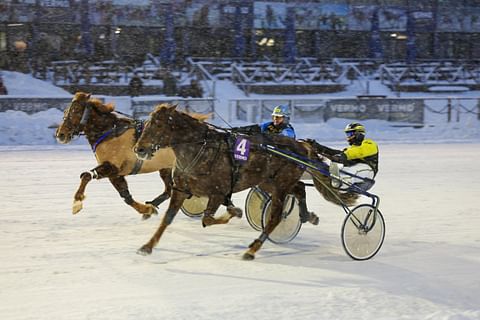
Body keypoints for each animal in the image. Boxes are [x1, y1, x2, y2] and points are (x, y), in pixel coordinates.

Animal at [55, 91, 209, 219]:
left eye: (75, 110)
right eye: (66, 110)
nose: (60, 134)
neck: (109, 132)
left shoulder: (112, 167)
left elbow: (86, 175)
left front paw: (77, 202)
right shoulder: (115, 173)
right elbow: (125, 196)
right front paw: (147, 210)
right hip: (165, 167)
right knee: (168, 189)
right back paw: (153, 203)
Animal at [133, 104, 358, 260]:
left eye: (158, 124)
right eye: (147, 122)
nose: (139, 149)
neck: (202, 148)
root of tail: (301, 147)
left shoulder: (217, 193)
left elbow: (207, 219)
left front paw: (235, 211)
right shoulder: (181, 190)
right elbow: (167, 219)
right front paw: (147, 246)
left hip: (280, 186)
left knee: (276, 216)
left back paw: (253, 249)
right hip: (269, 182)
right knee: (300, 188)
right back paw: (307, 215)